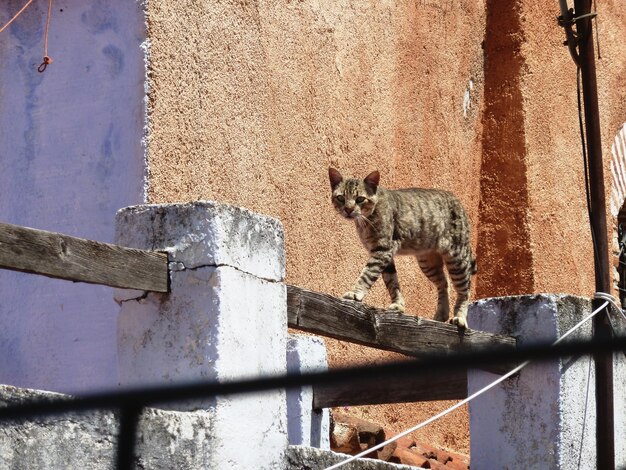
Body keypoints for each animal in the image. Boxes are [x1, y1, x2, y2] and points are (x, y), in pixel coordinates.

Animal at [330, 167, 476, 328]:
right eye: (341, 198)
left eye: (360, 199)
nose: (348, 209)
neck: (367, 220)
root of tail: (457, 200)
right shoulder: (384, 254)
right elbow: (392, 282)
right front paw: (399, 305)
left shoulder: (382, 250)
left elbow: (367, 274)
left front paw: (355, 293)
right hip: (428, 262)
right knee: (444, 283)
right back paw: (440, 314)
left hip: (457, 258)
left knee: (465, 290)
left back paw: (459, 317)